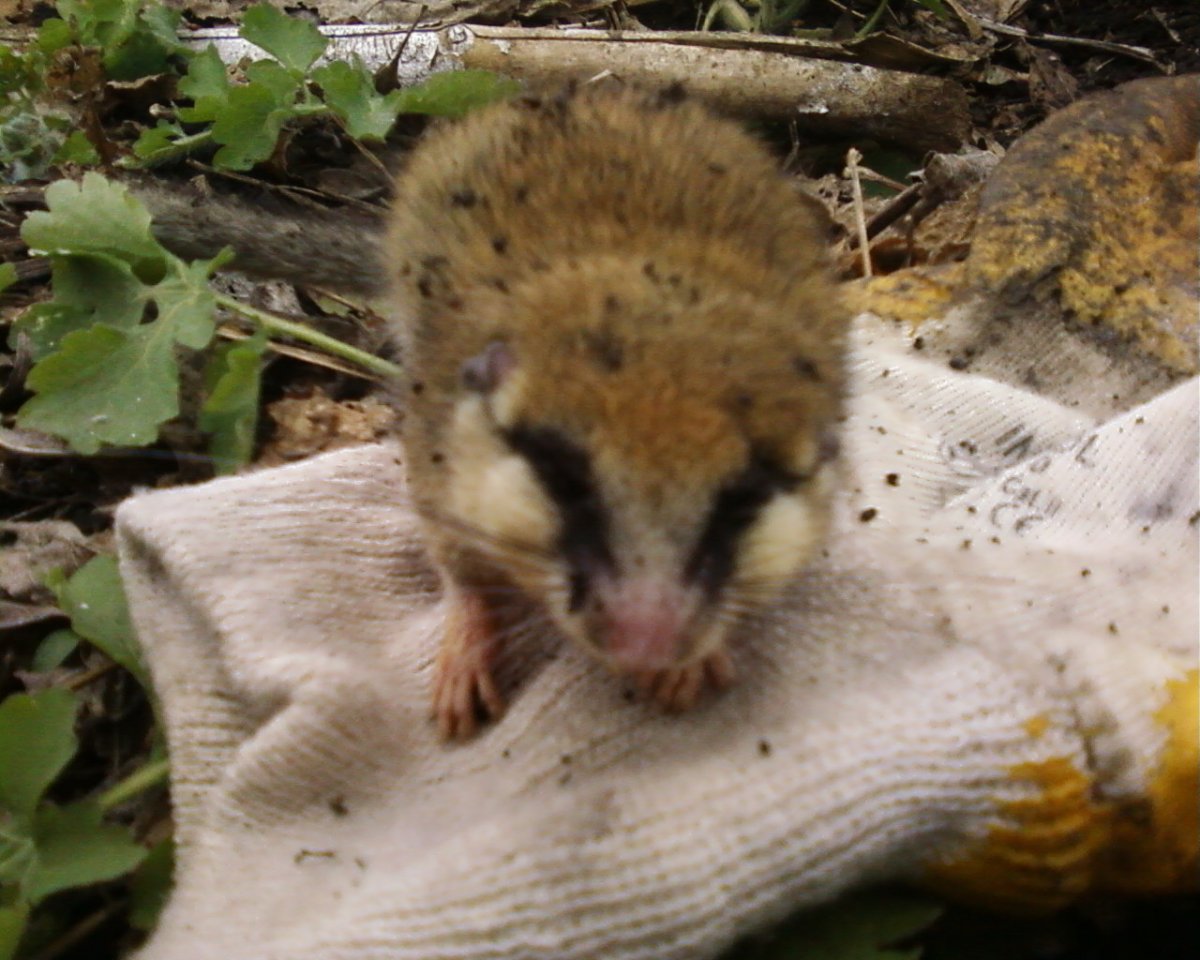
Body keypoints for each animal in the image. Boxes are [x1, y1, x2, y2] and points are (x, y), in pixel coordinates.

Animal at [137, 82, 850, 739]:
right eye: (562, 477)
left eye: (745, 499)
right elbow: (462, 574)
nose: (644, 643)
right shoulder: (435, 466)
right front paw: (465, 655)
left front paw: (691, 666)